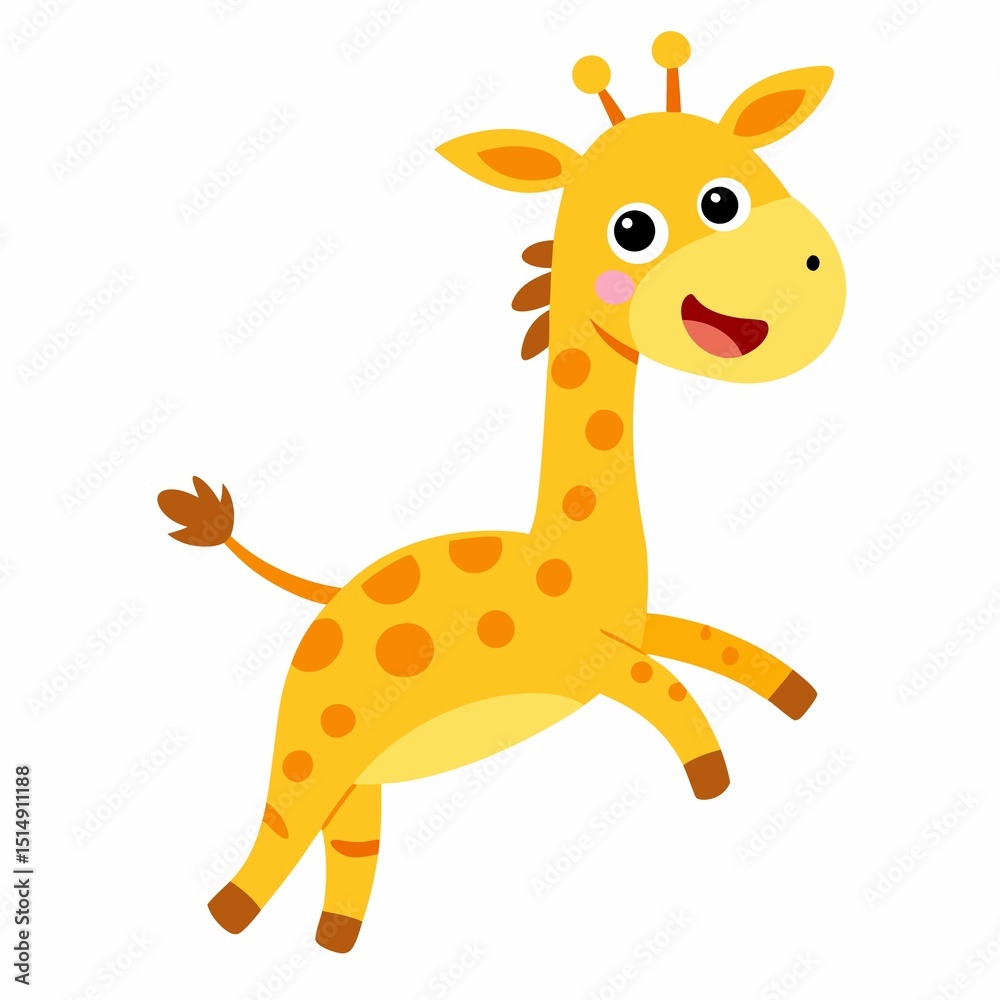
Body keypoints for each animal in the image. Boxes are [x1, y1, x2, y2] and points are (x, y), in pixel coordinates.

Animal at [159, 31, 846, 954]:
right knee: (270, 845)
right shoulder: (589, 663)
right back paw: (228, 920)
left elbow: (707, 644)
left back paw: (335, 941)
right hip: (313, 748)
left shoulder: (634, 628)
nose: (808, 270)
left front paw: (792, 693)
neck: (564, 555)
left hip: (364, 779)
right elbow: (670, 691)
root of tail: (324, 601)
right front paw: (712, 775)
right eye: (635, 227)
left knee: (350, 848)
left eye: (731, 189)